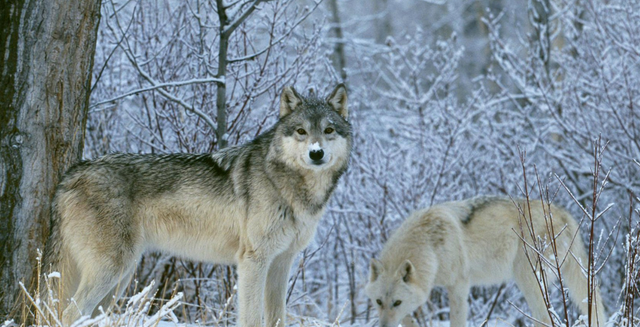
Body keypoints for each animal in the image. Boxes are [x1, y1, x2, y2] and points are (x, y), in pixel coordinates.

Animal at [43, 84, 356, 326]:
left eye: (328, 130)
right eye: (301, 131)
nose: (316, 153)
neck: (290, 186)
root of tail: (71, 174)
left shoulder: (281, 262)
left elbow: (278, 318)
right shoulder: (253, 261)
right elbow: (251, 318)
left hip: (120, 277)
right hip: (112, 270)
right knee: (68, 312)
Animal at [364, 197, 604, 327]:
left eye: (396, 302)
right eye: (378, 302)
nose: (383, 326)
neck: (430, 246)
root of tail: (565, 214)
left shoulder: (458, 286)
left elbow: (456, 321)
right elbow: (408, 319)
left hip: (527, 279)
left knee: (544, 318)